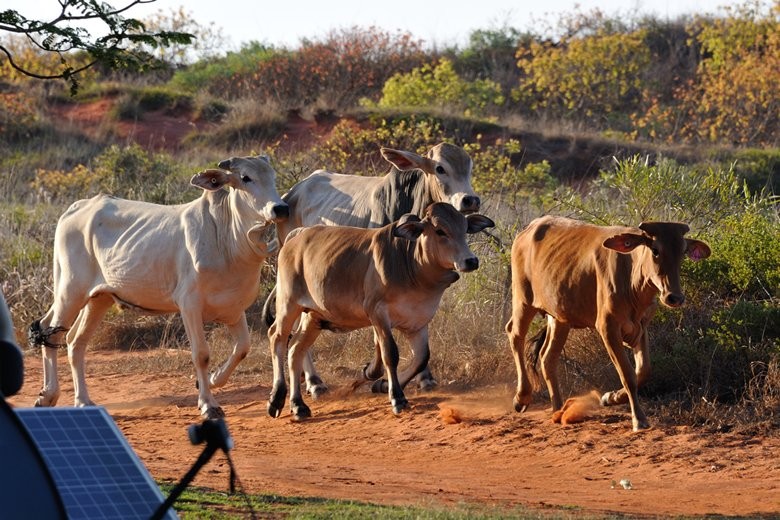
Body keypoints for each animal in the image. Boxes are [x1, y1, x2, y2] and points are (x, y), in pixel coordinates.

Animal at [28, 155, 289, 419]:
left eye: (273, 176)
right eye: (246, 177)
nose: (280, 208)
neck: (225, 236)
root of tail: (76, 208)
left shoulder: (234, 309)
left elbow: (242, 348)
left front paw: (213, 380)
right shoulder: (189, 305)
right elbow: (201, 354)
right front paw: (208, 404)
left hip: (99, 298)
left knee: (74, 340)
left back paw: (81, 400)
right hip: (71, 290)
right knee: (51, 330)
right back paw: (50, 396)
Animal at [266, 203, 494, 420]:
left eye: (465, 229)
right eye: (440, 231)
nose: (471, 261)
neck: (410, 262)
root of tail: (297, 236)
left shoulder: (418, 323)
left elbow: (421, 358)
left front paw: (382, 384)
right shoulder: (379, 314)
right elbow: (390, 353)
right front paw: (397, 397)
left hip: (313, 317)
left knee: (296, 349)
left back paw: (298, 405)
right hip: (288, 304)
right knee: (277, 337)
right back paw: (277, 398)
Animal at [269, 142, 481, 397]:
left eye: (469, 166)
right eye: (440, 168)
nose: (470, 200)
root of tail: (291, 193)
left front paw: (424, 378)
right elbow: (380, 340)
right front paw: (374, 373)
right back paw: (314, 381)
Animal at [505, 216, 711, 431]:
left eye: (683, 251)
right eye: (655, 250)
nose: (674, 297)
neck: (632, 278)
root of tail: (528, 230)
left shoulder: (641, 326)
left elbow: (643, 371)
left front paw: (611, 397)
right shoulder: (608, 327)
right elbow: (628, 374)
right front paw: (639, 419)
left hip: (559, 318)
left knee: (547, 358)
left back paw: (558, 410)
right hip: (523, 300)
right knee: (515, 334)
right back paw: (522, 397)